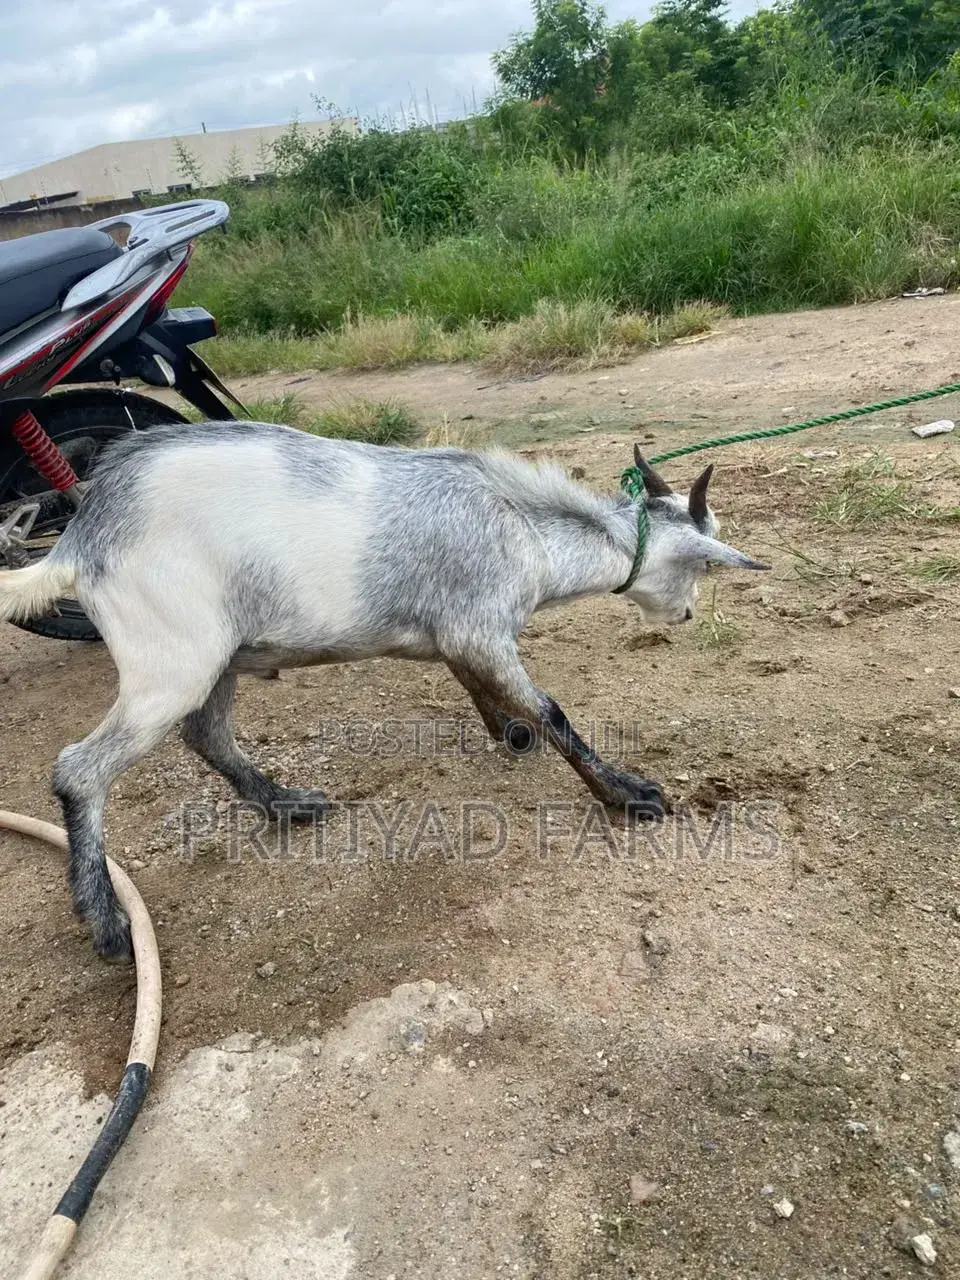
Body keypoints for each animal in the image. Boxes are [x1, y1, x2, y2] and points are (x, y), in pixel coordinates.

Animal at [0, 422, 768, 960]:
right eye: (701, 568)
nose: (688, 615)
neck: (526, 527)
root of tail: (81, 537)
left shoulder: (459, 635)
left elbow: (481, 686)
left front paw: (508, 731)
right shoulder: (478, 623)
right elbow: (553, 712)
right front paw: (627, 793)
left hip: (218, 656)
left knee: (206, 732)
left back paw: (285, 804)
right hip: (172, 659)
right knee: (80, 769)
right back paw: (104, 917)